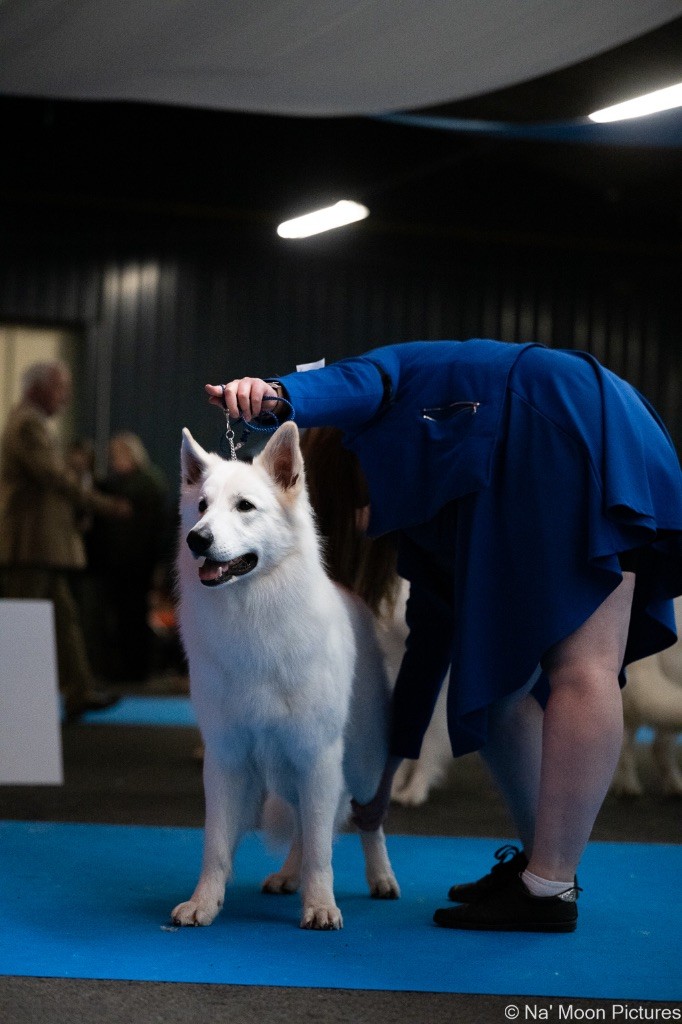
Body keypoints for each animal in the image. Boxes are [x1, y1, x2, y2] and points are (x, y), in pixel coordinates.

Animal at [169, 419, 401, 933]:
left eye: (245, 506)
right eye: (201, 507)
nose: (197, 539)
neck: (252, 615)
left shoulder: (316, 754)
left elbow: (320, 849)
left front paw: (321, 905)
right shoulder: (226, 757)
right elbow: (216, 845)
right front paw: (203, 903)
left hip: (361, 764)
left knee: (367, 822)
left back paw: (381, 878)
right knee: (305, 826)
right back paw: (288, 876)